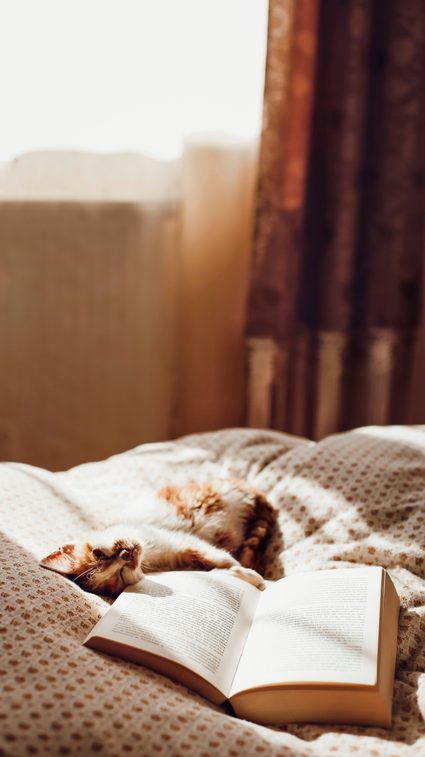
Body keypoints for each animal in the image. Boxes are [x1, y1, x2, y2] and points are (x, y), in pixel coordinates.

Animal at [40, 478, 274, 596]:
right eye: (121, 575)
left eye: (98, 553)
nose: (127, 553)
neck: (153, 557)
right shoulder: (183, 557)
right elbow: (215, 569)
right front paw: (248, 577)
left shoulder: (182, 542)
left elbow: (220, 558)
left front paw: (250, 576)